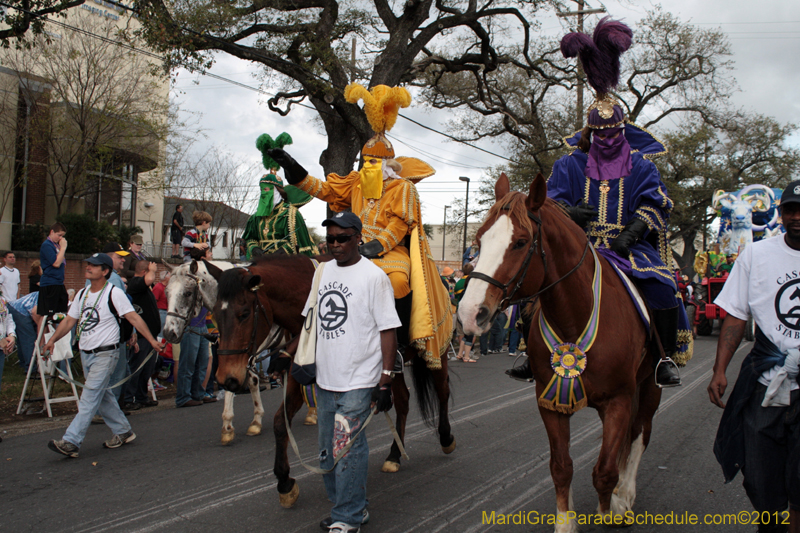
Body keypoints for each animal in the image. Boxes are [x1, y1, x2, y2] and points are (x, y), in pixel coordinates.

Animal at [211, 254, 456, 508]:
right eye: (215, 314)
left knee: (442, 391)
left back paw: (446, 437)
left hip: (438, 351)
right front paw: (285, 482)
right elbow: (280, 422)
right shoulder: (300, 376)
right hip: (392, 371)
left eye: (244, 314)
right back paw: (394, 455)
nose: (226, 378)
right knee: (403, 401)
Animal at [456, 175, 664, 532]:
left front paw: (610, 512)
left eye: (521, 242)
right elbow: (562, 466)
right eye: (480, 239)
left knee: (640, 433)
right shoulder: (550, 401)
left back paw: (625, 495)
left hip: (650, 385)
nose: (470, 314)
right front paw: (566, 523)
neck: (576, 319)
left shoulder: (618, 401)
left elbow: (605, 472)